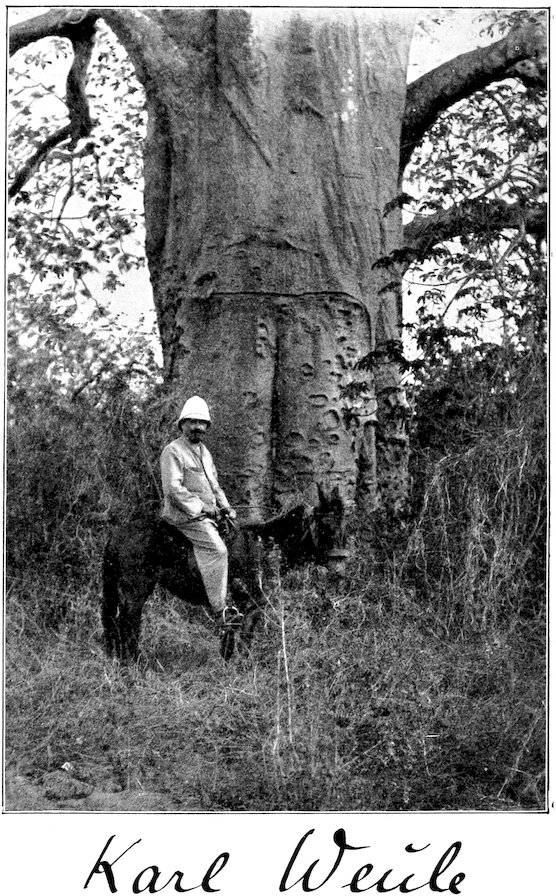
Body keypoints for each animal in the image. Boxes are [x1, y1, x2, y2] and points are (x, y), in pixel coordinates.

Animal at [99, 484, 344, 664]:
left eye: (343, 525)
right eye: (324, 526)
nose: (340, 566)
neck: (264, 545)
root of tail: (117, 534)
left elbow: (232, 635)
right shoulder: (251, 604)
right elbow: (245, 638)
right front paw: (243, 667)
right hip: (135, 590)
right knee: (127, 622)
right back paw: (133, 661)